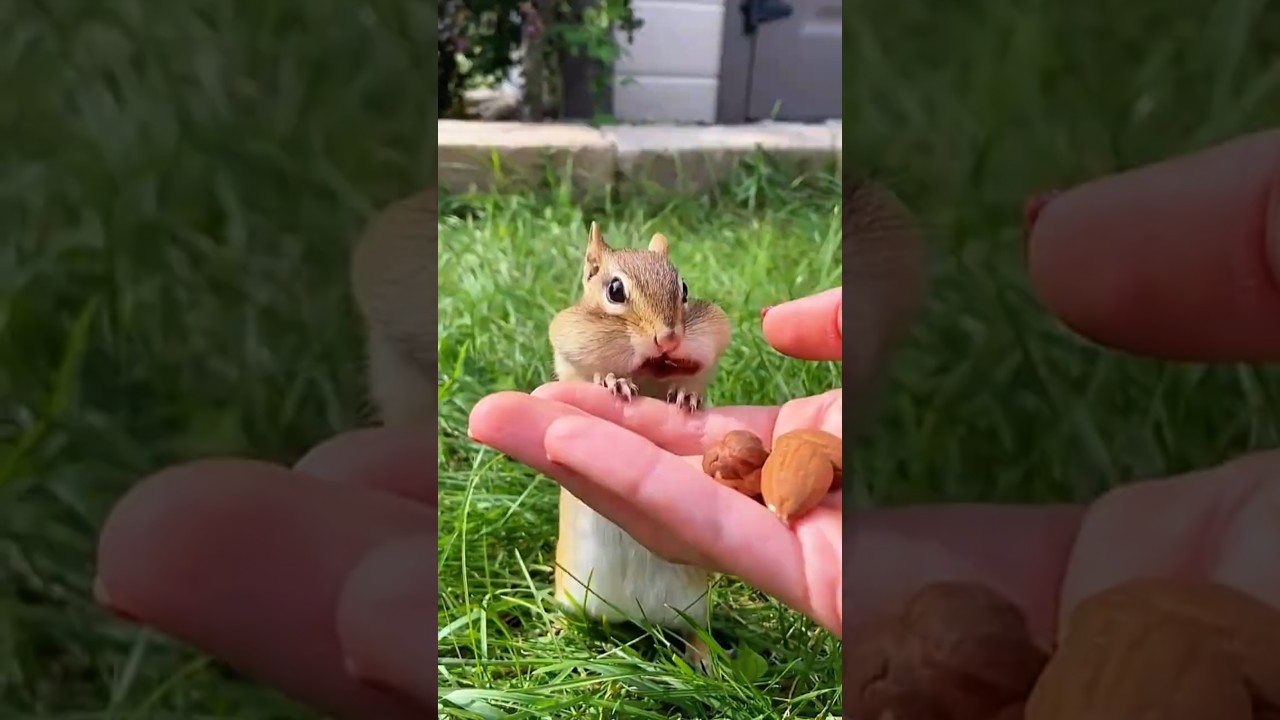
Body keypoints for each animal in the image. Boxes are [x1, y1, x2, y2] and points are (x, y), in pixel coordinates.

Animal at [548, 221, 732, 668]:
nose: (669, 338)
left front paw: (687, 395)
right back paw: (558, 632)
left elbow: (695, 380)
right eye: (615, 290)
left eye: (684, 288)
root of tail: (636, 617)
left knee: (696, 628)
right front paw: (613, 381)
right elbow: (586, 377)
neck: (649, 375)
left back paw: (704, 659)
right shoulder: (566, 361)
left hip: (695, 601)